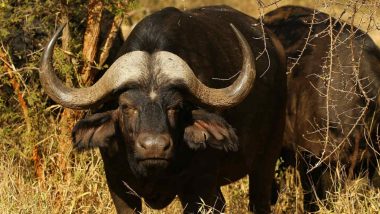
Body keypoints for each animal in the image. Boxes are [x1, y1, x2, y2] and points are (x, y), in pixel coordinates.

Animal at [40, 5, 286, 214]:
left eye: (175, 107)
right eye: (126, 106)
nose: (154, 147)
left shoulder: (200, 189)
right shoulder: (119, 186)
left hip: (266, 160)